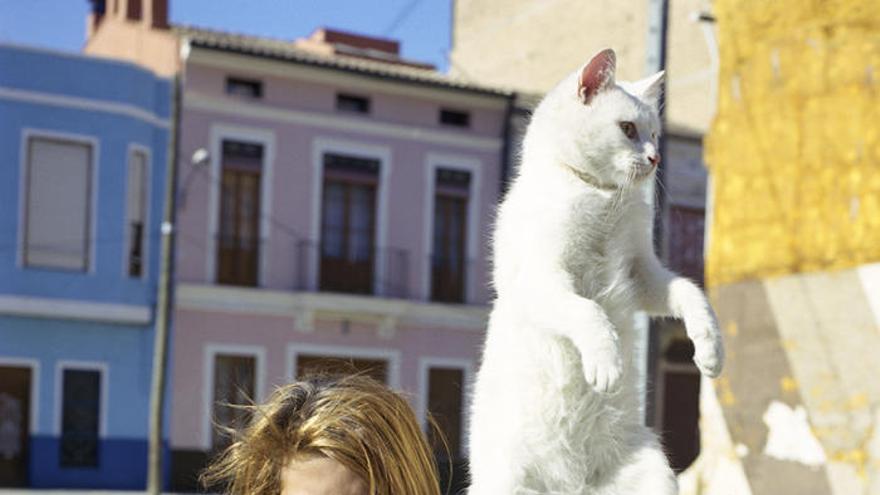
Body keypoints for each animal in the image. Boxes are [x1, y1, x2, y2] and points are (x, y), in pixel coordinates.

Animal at [468, 48, 720, 494]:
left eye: (655, 134)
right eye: (628, 129)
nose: (655, 158)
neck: (600, 197)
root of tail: (572, 487)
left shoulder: (644, 275)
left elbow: (691, 293)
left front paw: (709, 349)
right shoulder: (543, 279)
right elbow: (588, 311)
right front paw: (606, 361)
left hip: (656, 474)